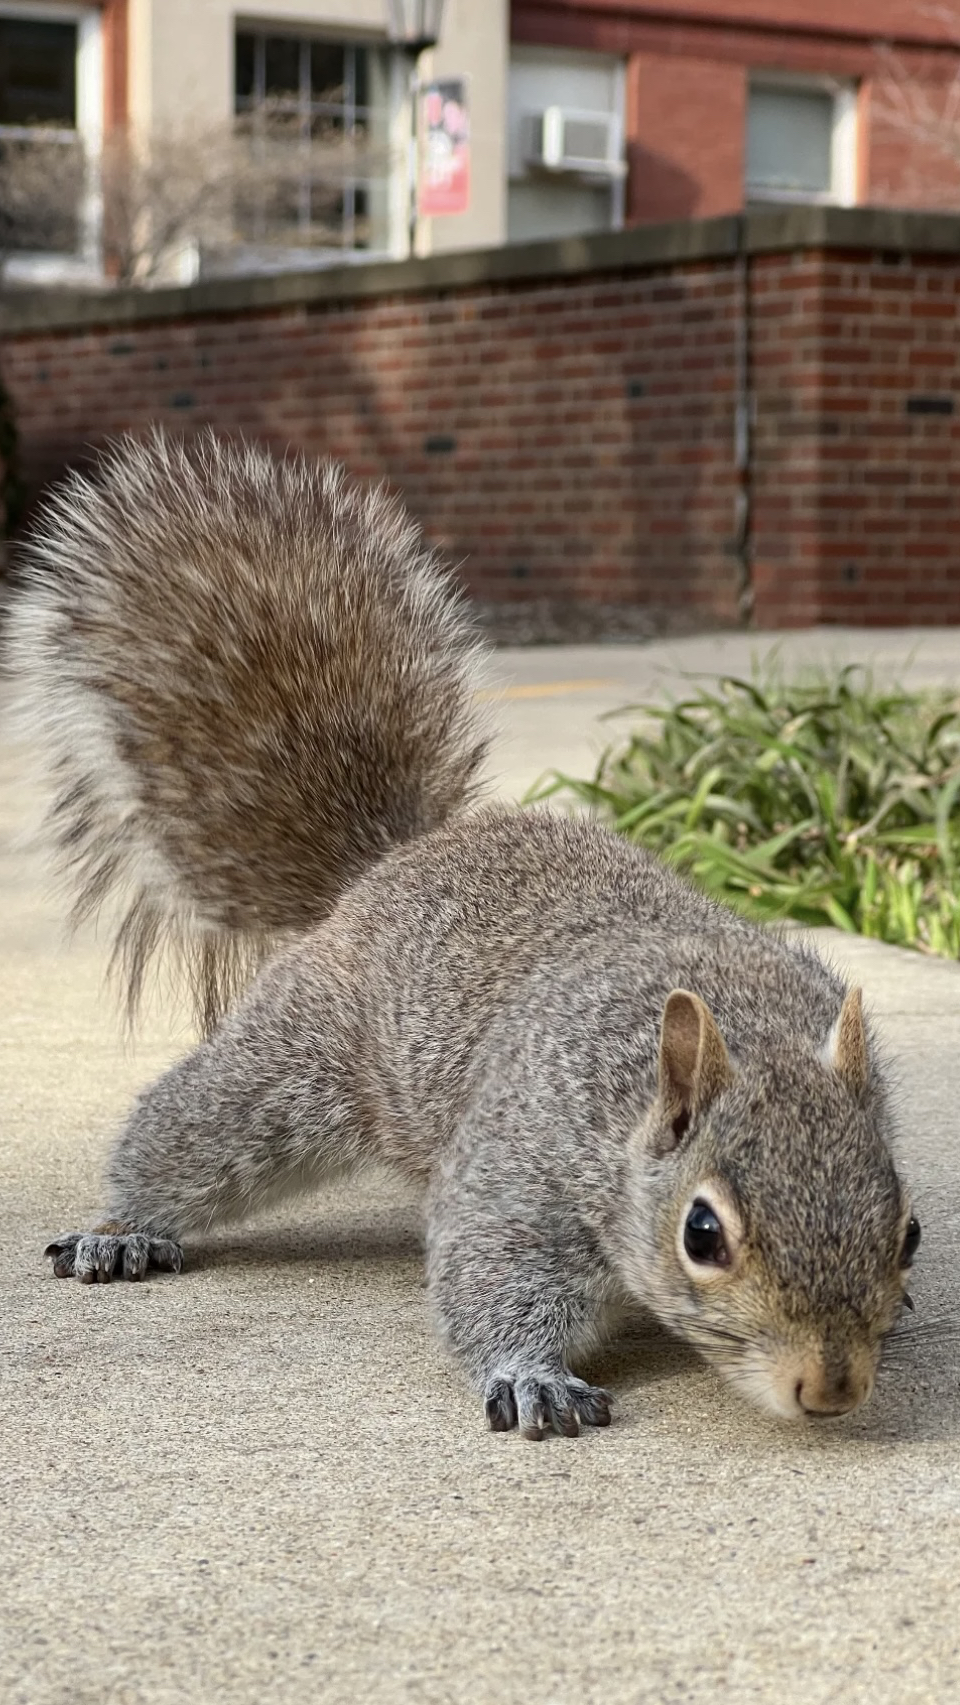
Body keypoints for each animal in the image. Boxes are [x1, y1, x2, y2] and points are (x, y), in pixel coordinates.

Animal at [9, 426, 920, 1439]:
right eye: (703, 1232)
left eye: (910, 1229)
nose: (830, 1387)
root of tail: (396, 858)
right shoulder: (526, 1162)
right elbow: (489, 1269)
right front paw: (533, 1376)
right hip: (294, 1066)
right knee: (188, 1131)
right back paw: (120, 1229)